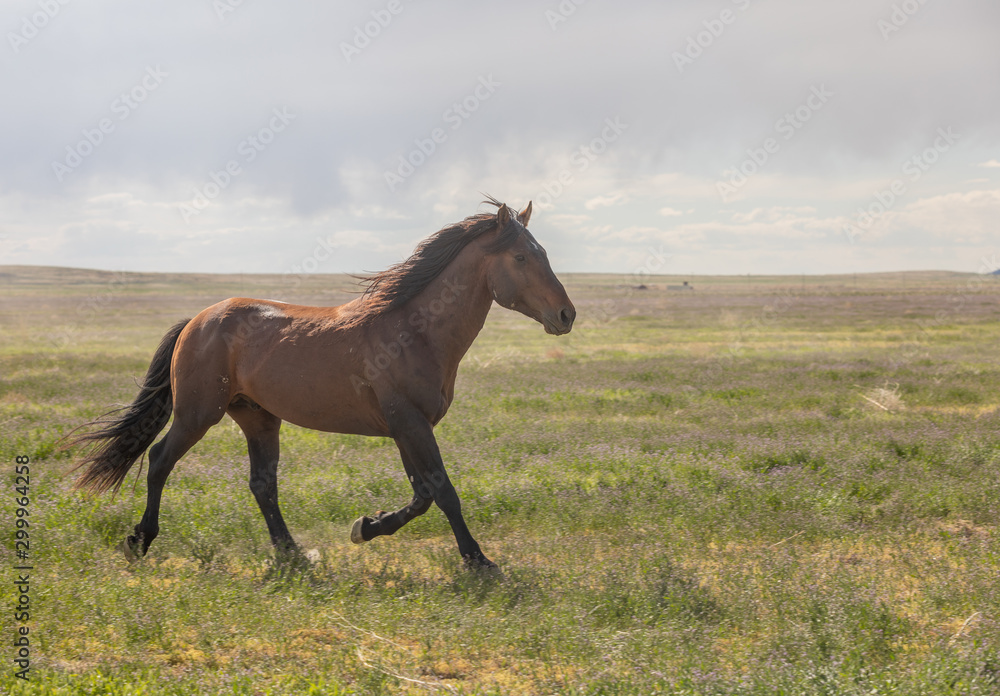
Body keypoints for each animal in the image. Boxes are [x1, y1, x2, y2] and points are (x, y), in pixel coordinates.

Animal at [68, 198, 580, 568]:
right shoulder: (409, 423)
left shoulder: (405, 428)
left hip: (258, 419)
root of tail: (198, 319)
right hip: (198, 414)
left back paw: (293, 554)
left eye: (544, 254)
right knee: (159, 461)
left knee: (262, 485)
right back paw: (140, 540)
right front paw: (478, 561)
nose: (566, 315)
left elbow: (422, 495)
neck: (415, 331)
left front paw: (367, 526)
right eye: (521, 256)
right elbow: (443, 492)